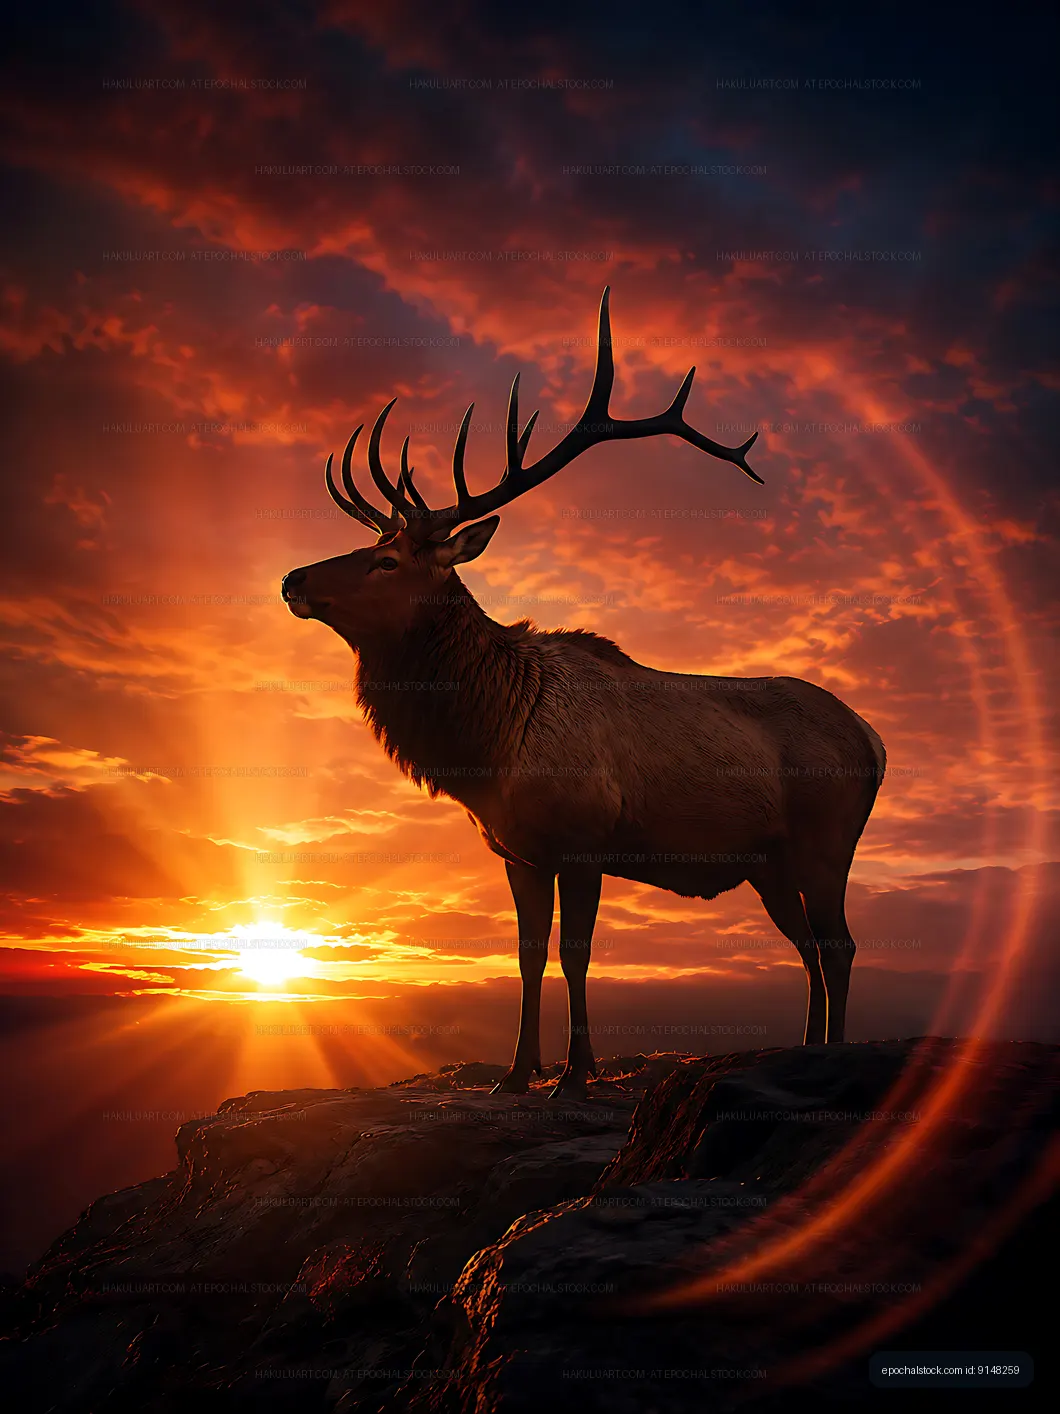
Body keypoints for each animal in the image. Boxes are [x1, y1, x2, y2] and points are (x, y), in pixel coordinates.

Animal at [281, 288, 886, 1098]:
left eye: (387, 561)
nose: (293, 578)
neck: (491, 745)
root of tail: (875, 740)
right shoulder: (518, 851)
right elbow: (528, 955)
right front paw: (515, 1074)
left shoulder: (585, 838)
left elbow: (575, 952)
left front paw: (576, 1072)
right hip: (769, 863)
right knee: (809, 947)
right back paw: (807, 1044)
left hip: (827, 841)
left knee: (841, 943)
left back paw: (833, 1053)